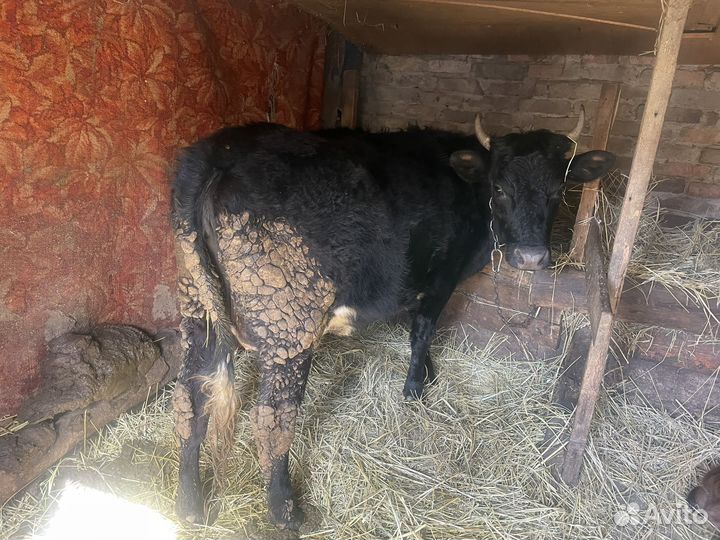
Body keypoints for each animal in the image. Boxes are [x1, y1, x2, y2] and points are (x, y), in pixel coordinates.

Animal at [170, 109, 615, 530]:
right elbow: (423, 328)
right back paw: (285, 512)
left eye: (558, 190)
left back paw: (189, 502)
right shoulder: (442, 276)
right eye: (500, 188)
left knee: (190, 398)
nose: (531, 258)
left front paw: (428, 371)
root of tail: (221, 153)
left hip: (195, 307)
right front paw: (415, 387)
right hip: (288, 324)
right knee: (272, 420)